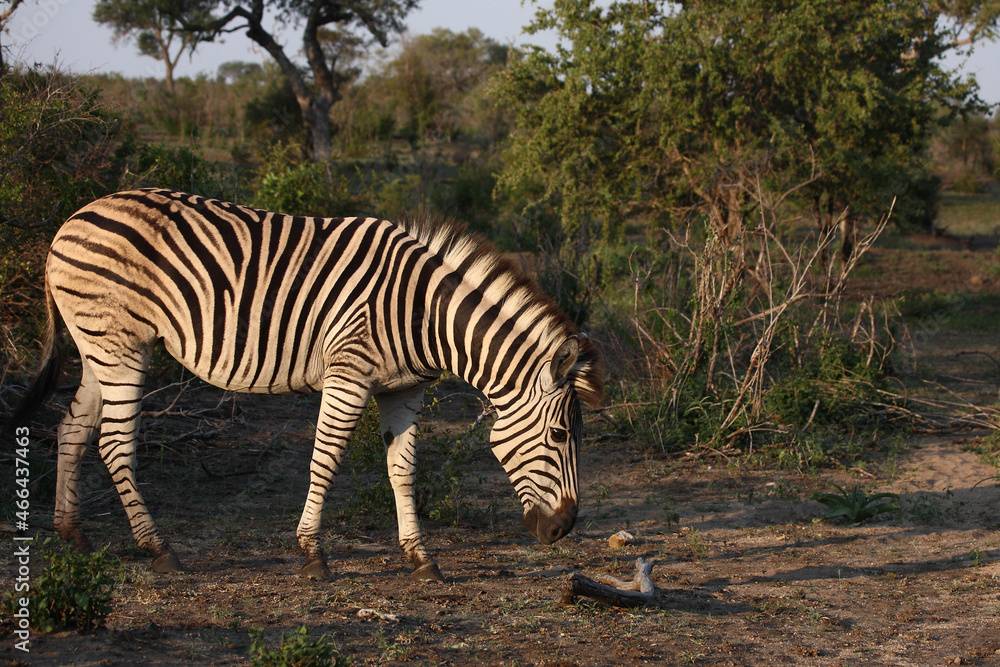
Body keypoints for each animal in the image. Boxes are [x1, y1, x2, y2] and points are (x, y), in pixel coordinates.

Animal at [11, 188, 603, 582]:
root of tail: (71, 219)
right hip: (122, 345)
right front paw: (313, 552)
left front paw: (420, 558)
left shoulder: (403, 389)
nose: (564, 529)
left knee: (72, 429)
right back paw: (159, 550)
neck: (423, 315)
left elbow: (402, 470)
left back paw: (73, 534)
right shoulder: (349, 371)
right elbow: (327, 458)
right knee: (114, 443)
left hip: (98, 347)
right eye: (558, 436)